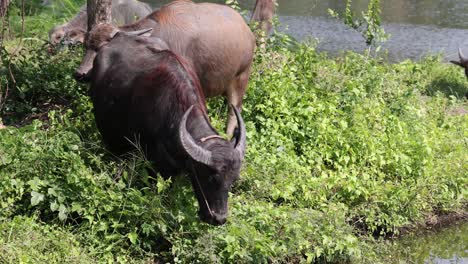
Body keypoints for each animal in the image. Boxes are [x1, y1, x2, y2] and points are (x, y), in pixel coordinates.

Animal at [75, 0, 256, 136]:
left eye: (102, 48)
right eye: (86, 45)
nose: (80, 73)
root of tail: (248, 31)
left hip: (241, 77)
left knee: (234, 110)